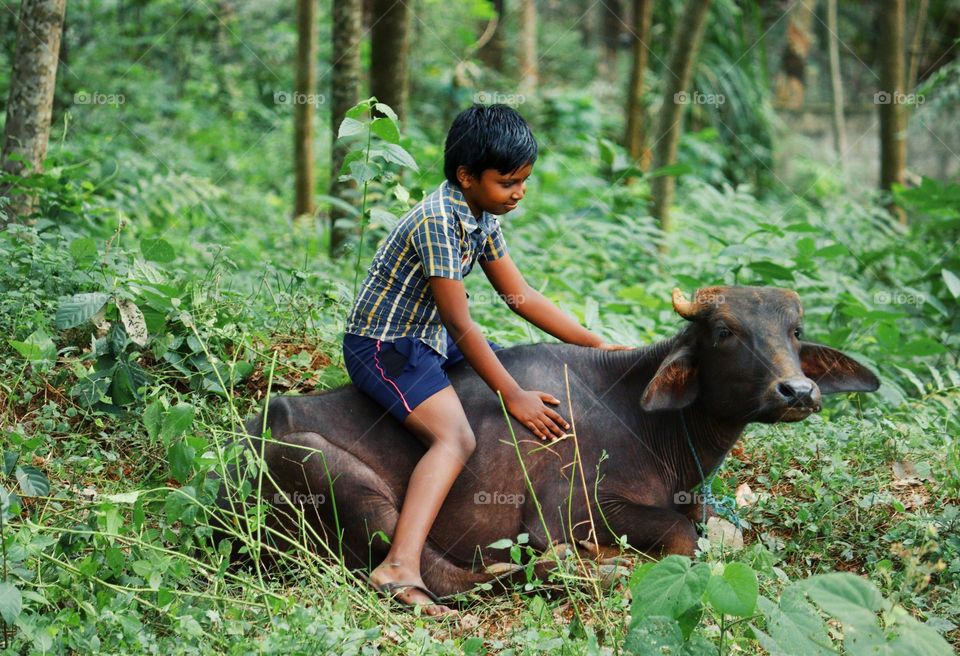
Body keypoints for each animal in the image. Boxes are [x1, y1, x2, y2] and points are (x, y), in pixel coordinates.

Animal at [214, 284, 880, 596]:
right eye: (724, 332)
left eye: (795, 331)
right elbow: (680, 537)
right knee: (432, 572)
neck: (648, 422)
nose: (797, 391)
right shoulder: (571, 508)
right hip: (328, 473)